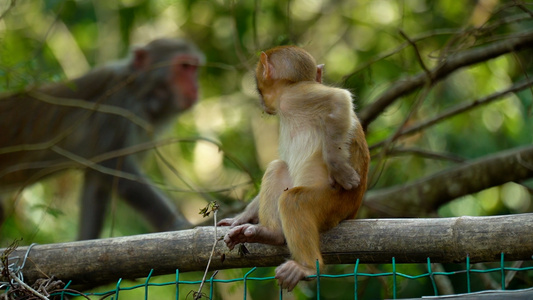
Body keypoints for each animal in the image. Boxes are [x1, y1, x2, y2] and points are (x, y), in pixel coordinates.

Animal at [0, 38, 204, 239]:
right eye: (184, 66)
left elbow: (97, 184)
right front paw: (178, 224)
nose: (196, 87)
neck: (139, 91)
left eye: (194, 68)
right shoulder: (115, 107)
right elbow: (114, 167)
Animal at [218, 45, 368, 292]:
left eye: (259, 89)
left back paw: (306, 266)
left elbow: (338, 99)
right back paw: (272, 234)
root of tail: (353, 210)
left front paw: (339, 169)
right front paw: (241, 218)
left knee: (293, 201)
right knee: (278, 167)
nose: (262, 104)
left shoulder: (295, 96)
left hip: (335, 204)